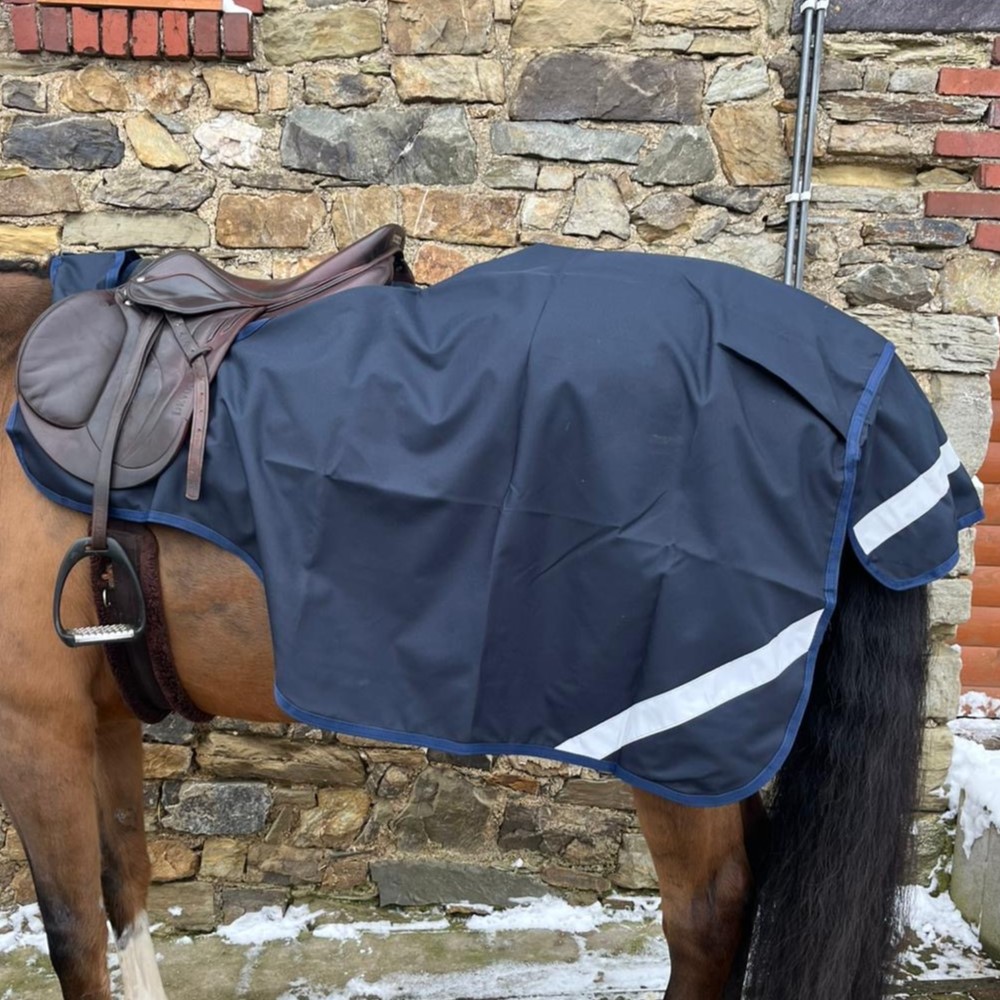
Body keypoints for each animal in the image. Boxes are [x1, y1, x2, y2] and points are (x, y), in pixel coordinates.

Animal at [0, 252, 941, 1000]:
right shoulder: (102, 715)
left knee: (709, 912)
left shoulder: (34, 726)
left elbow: (73, 933)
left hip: (679, 739)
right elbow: (126, 890)